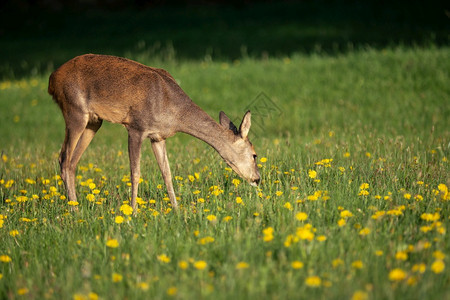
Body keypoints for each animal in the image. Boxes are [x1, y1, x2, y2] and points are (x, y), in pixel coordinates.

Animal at [48, 55, 260, 212]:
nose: (257, 179)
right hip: (74, 109)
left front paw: (176, 209)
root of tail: (52, 79)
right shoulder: (135, 127)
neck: (173, 110)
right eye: (254, 155)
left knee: (72, 161)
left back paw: (75, 206)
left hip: (94, 121)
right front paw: (133, 212)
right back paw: (74, 211)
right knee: (64, 157)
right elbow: (135, 172)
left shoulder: (158, 137)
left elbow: (167, 173)